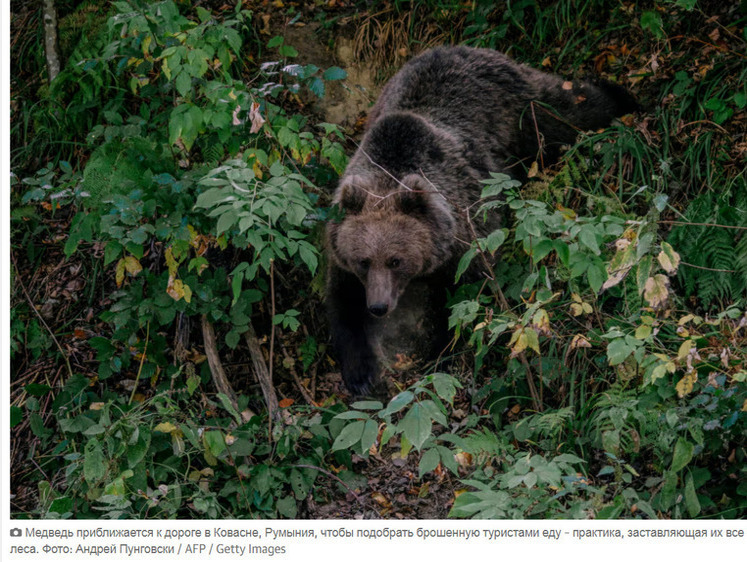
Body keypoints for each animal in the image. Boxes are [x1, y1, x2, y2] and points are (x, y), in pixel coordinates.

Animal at [328, 46, 636, 394]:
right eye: (364, 261)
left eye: (396, 260)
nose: (379, 306)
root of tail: (464, 48)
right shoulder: (343, 247)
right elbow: (342, 303)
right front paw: (360, 374)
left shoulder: (468, 234)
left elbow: (466, 299)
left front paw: (440, 355)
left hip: (519, 108)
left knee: (565, 111)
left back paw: (620, 96)